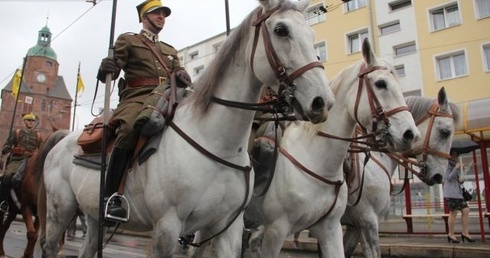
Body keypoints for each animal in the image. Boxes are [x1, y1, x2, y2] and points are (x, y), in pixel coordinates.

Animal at [40, 1, 334, 256]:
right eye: (281, 30)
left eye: (311, 31)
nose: (322, 102)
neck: (218, 143)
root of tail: (64, 139)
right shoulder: (167, 228)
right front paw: (107, 65)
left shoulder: (226, 229)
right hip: (60, 210)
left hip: (91, 215)